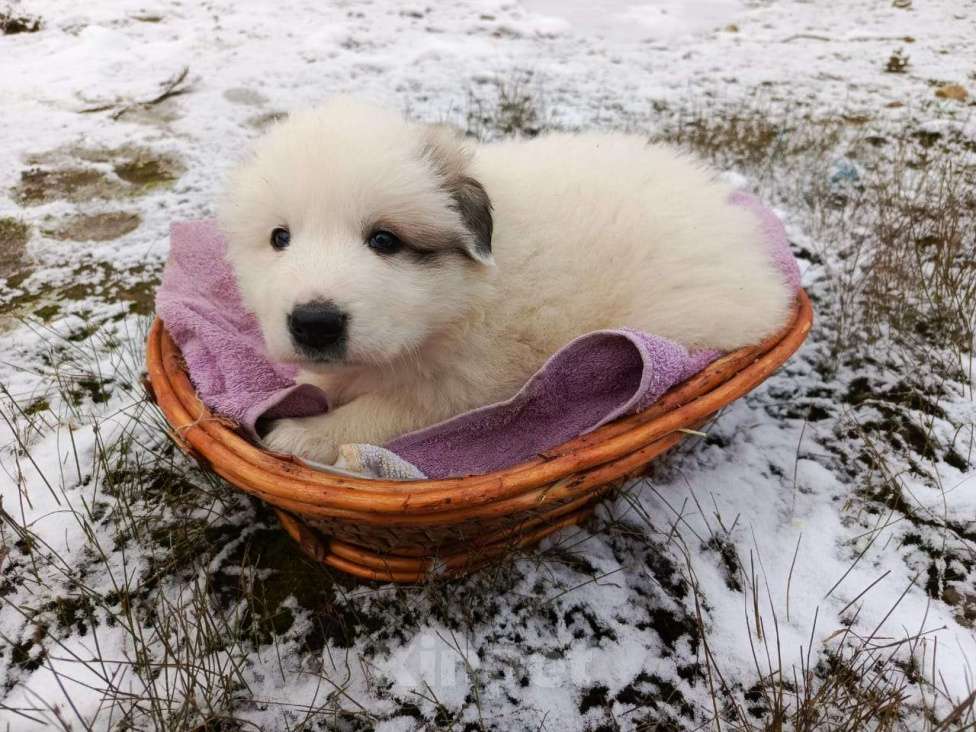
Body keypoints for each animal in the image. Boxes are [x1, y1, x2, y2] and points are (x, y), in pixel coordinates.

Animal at [219, 97, 792, 464]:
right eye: (279, 238)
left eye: (384, 240)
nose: (314, 324)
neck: (463, 302)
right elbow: (326, 381)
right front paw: (306, 389)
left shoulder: (461, 391)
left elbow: (378, 415)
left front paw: (300, 434)